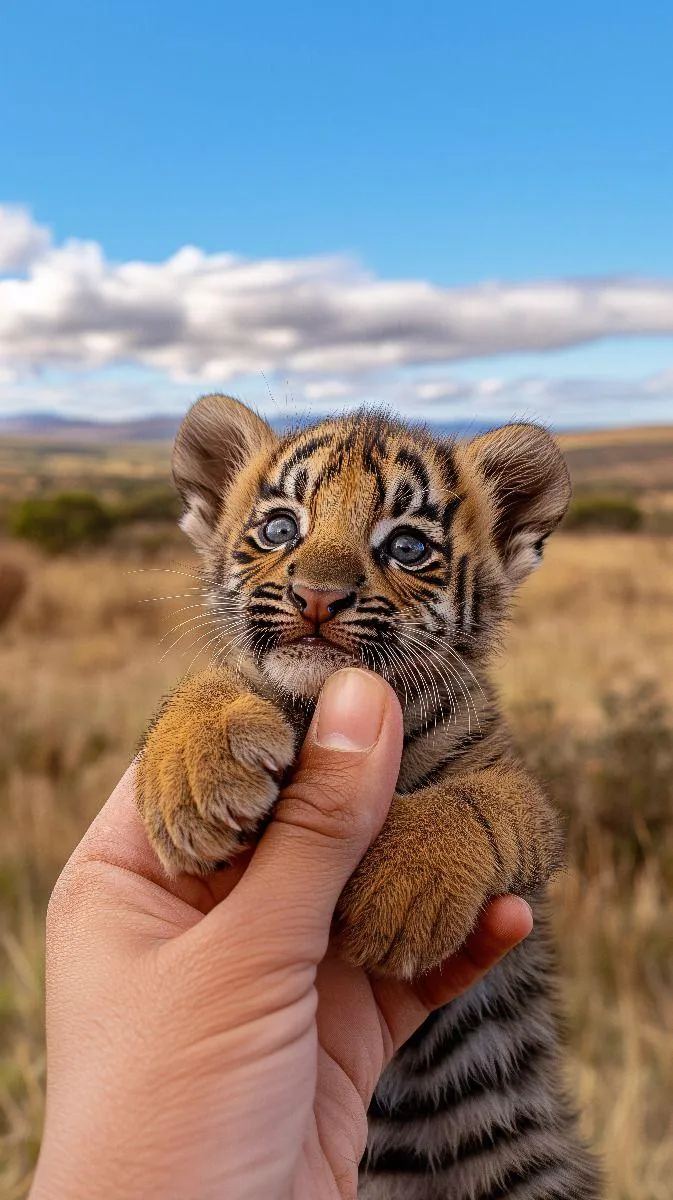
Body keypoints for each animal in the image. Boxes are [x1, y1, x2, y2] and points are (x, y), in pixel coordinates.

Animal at [136, 393, 601, 1199]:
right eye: (280, 528)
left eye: (406, 547)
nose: (317, 597)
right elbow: (214, 679)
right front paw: (194, 775)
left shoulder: (523, 794)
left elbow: (480, 801)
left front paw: (403, 892)